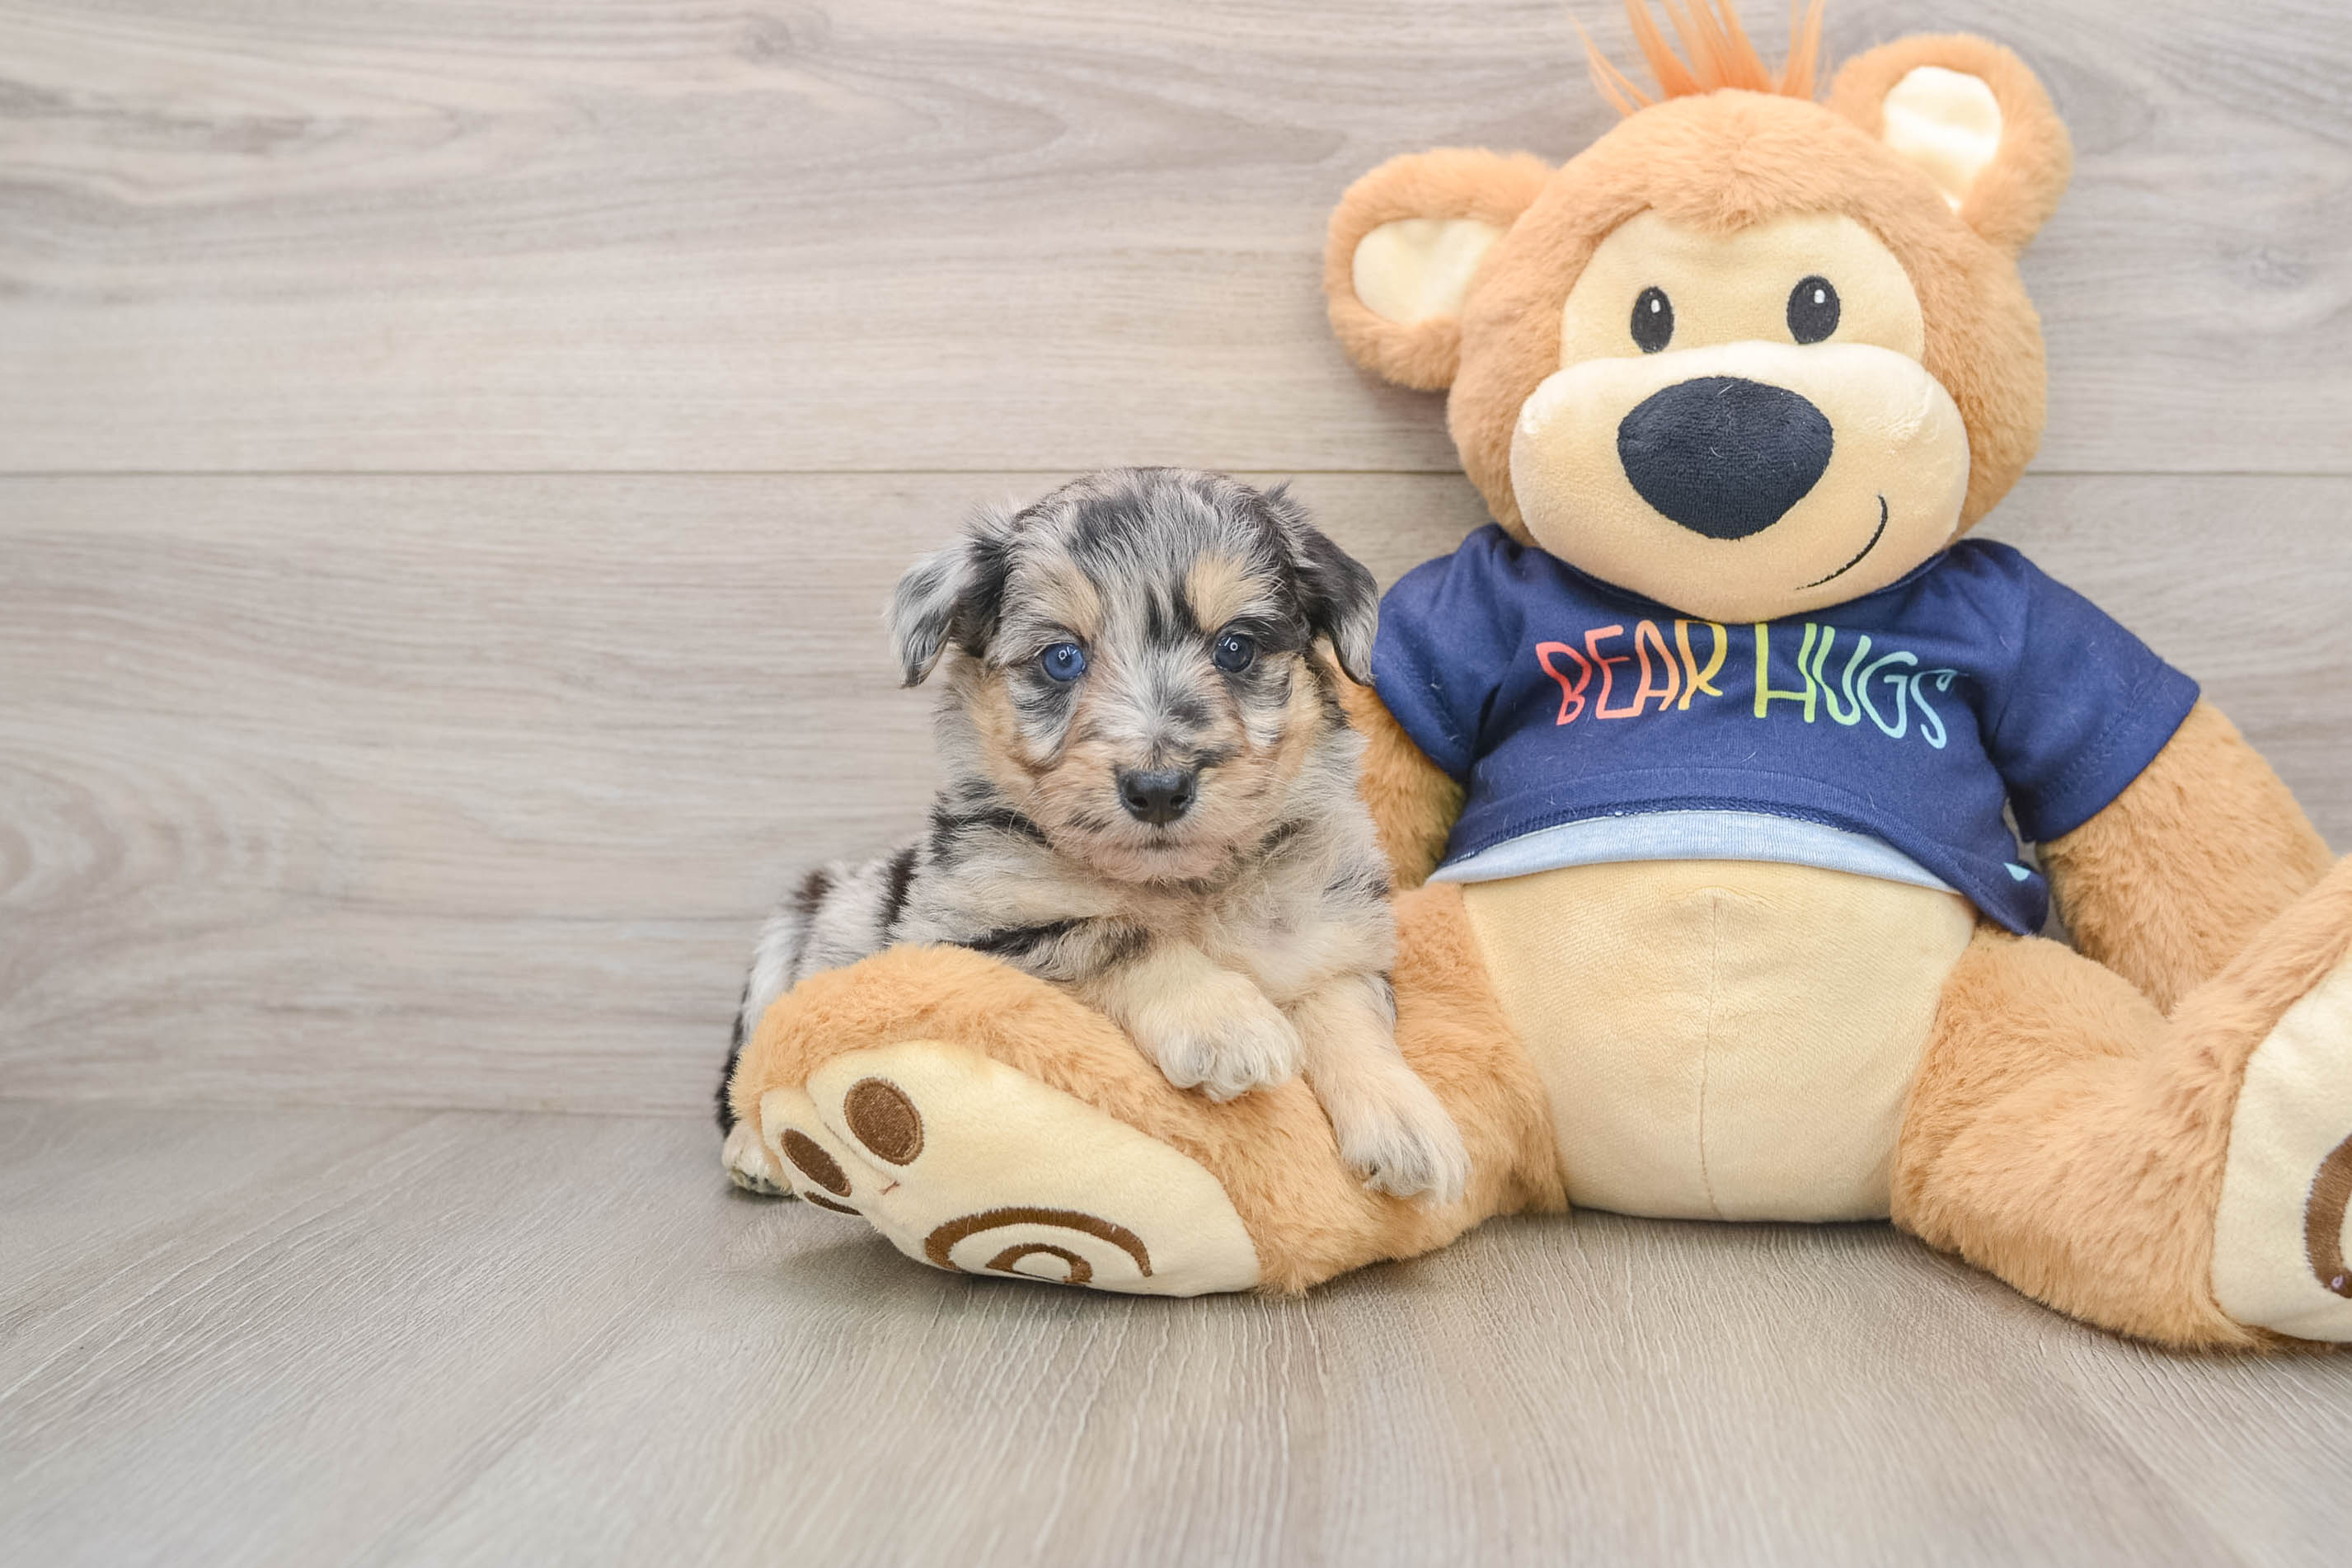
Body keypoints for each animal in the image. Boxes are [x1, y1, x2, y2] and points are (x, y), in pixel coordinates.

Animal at [718, 468, 1469, 1204]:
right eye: (1061, 659)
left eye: (1236, 648)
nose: (1158, 788)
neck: (1181, 885)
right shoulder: (968, 935)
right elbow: (1113, 933)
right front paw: (1225, 1021)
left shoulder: (1330, 935)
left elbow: (1346, 1008)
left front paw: (1406, 1121)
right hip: (807, 926)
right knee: (758, 1057)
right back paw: (758, 1150)